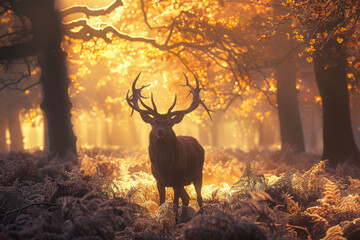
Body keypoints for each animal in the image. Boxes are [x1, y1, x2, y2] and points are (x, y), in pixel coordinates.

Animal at [126, 72, 211, 221]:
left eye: (169, 123)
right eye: (153, 122)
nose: (160, 131)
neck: (164, 166)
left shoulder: (178, 179)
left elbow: (175, 204)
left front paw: (174, 222)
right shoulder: (159, 181)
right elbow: (162, 202)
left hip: (198, 173)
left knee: (199, 197)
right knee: (187, 197)